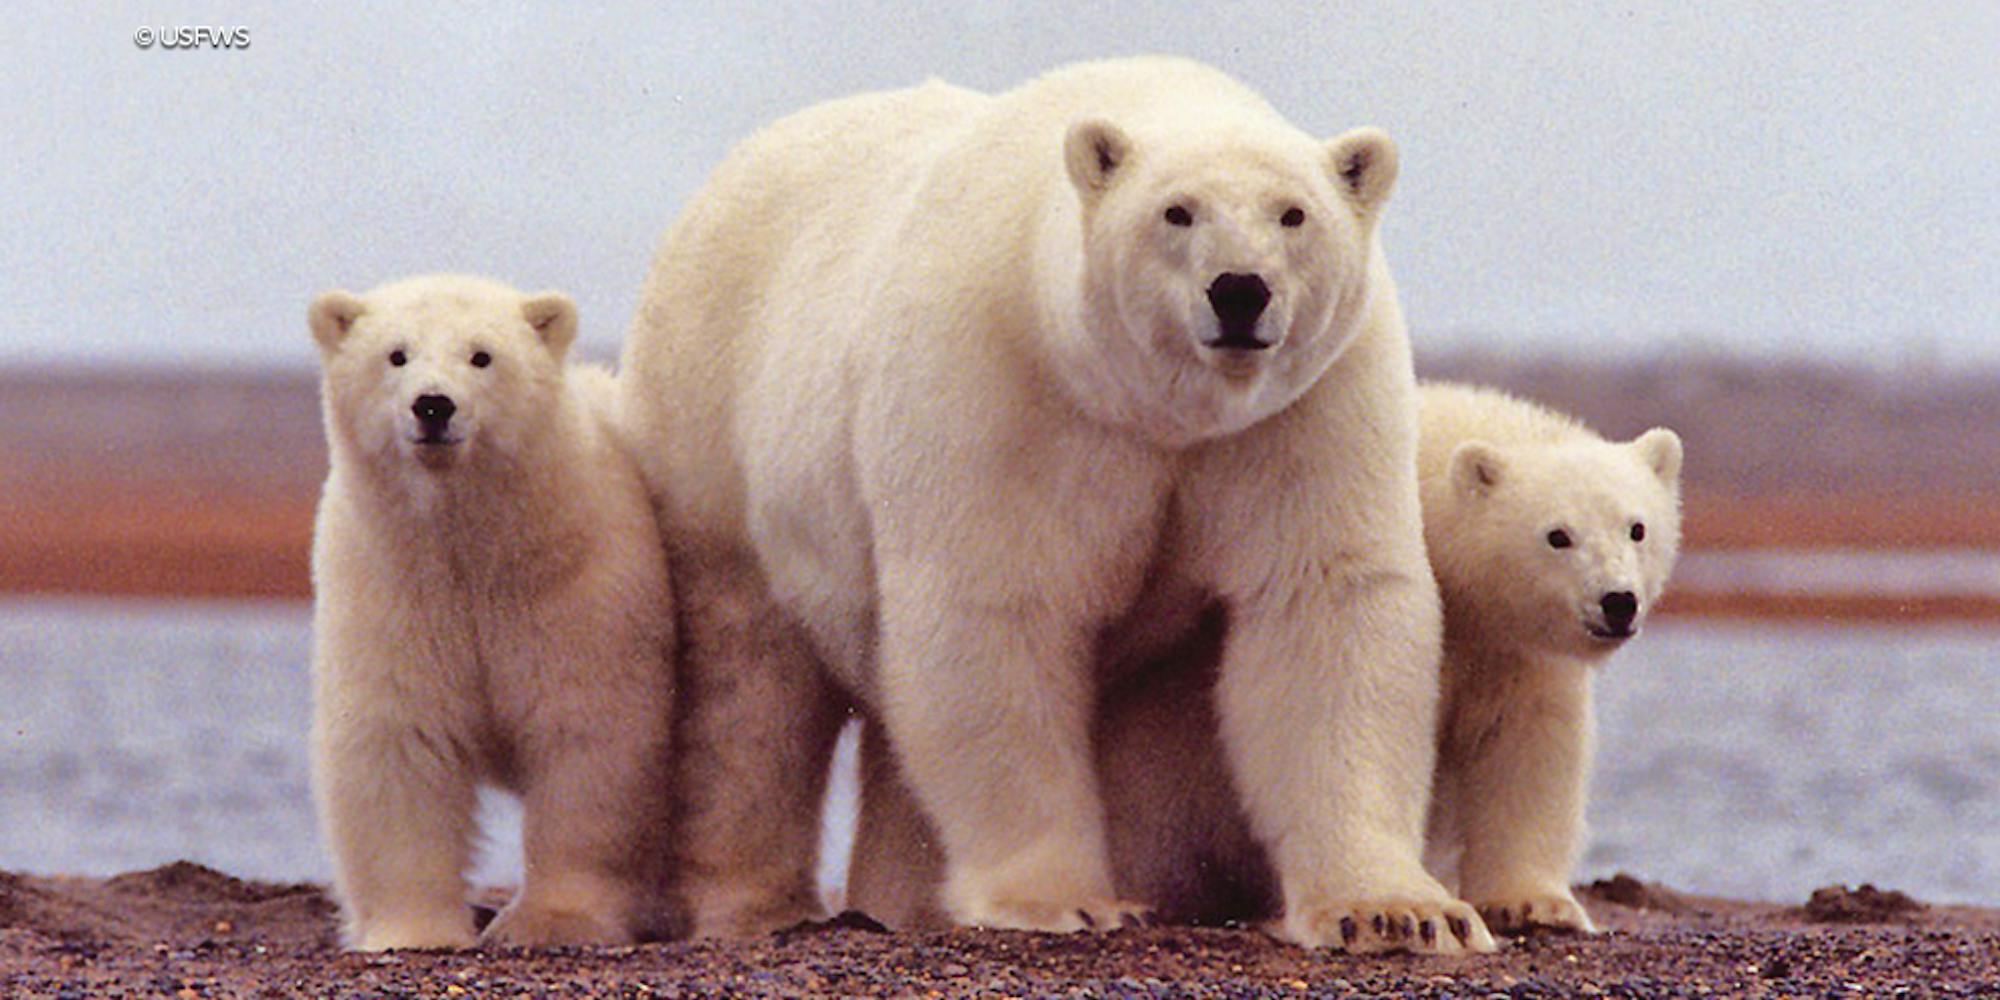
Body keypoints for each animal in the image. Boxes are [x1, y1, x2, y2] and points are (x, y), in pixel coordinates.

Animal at [620, 58, 1488, 956]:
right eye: (1177, 211)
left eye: (1293, 213)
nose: (1240, 291)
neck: (1153, 409)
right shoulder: (1004, 386)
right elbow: (997, 610)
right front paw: (1063, 899)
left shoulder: (1304, 409)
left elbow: (1324, 603)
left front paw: (1398, 911)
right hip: (714, 423)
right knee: (748, 686)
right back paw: (753, 903)